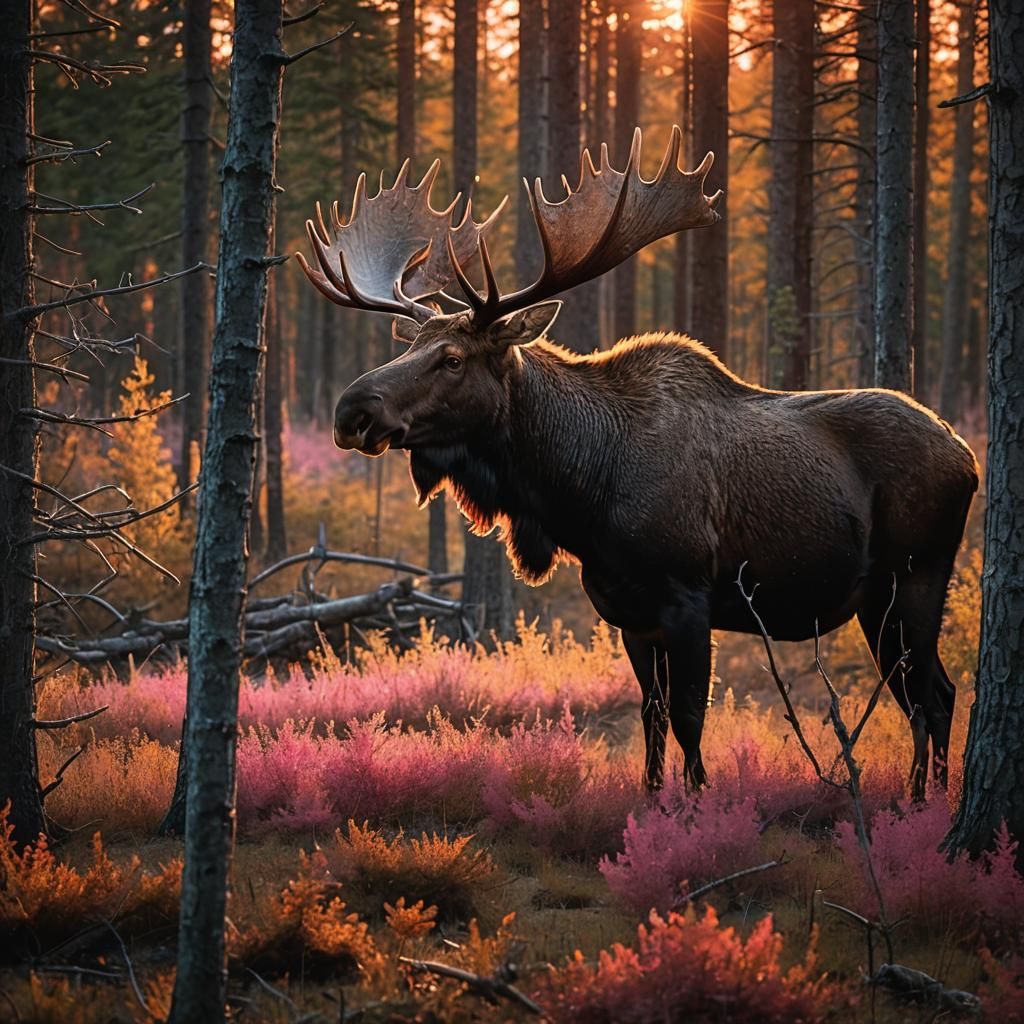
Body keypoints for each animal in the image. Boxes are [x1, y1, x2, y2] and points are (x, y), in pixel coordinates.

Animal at [296, 126, 979, 802]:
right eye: (410, 345)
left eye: (453, 358)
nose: (351, 409)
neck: (578, 494)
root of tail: (969, 457)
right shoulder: (627, 614)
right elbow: (651, 718)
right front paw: (651, 803)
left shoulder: (689, 599)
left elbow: (690, 720)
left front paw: (697, 808)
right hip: (878, 600)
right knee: (928, 695)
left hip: (912, 579)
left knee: (935, 694)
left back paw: (924, 803)